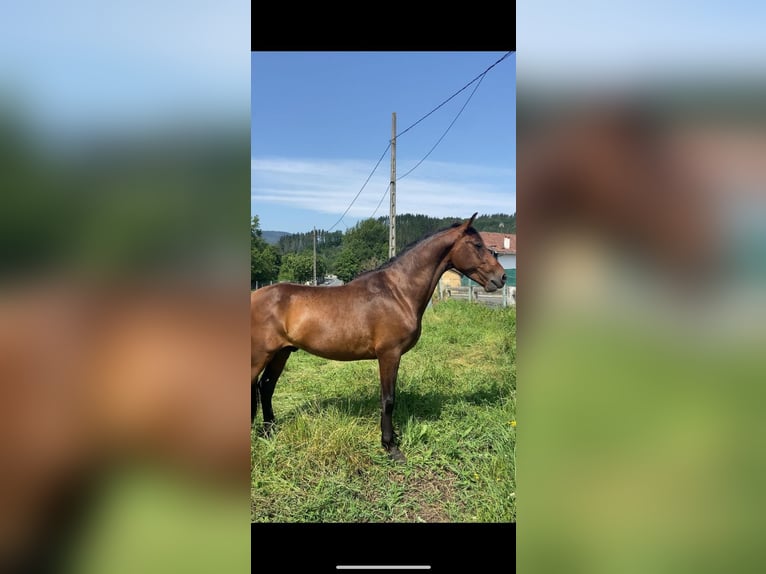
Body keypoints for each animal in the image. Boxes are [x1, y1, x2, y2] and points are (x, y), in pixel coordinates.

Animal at [250, 213, 507, 462]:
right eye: (477, 245)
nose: (502, 277)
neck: (398, 292)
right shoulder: (389, 354)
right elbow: (388, 399)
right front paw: (390, 447)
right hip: (261, 355)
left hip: (281, 352)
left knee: (266, 387)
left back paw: (269, 430)